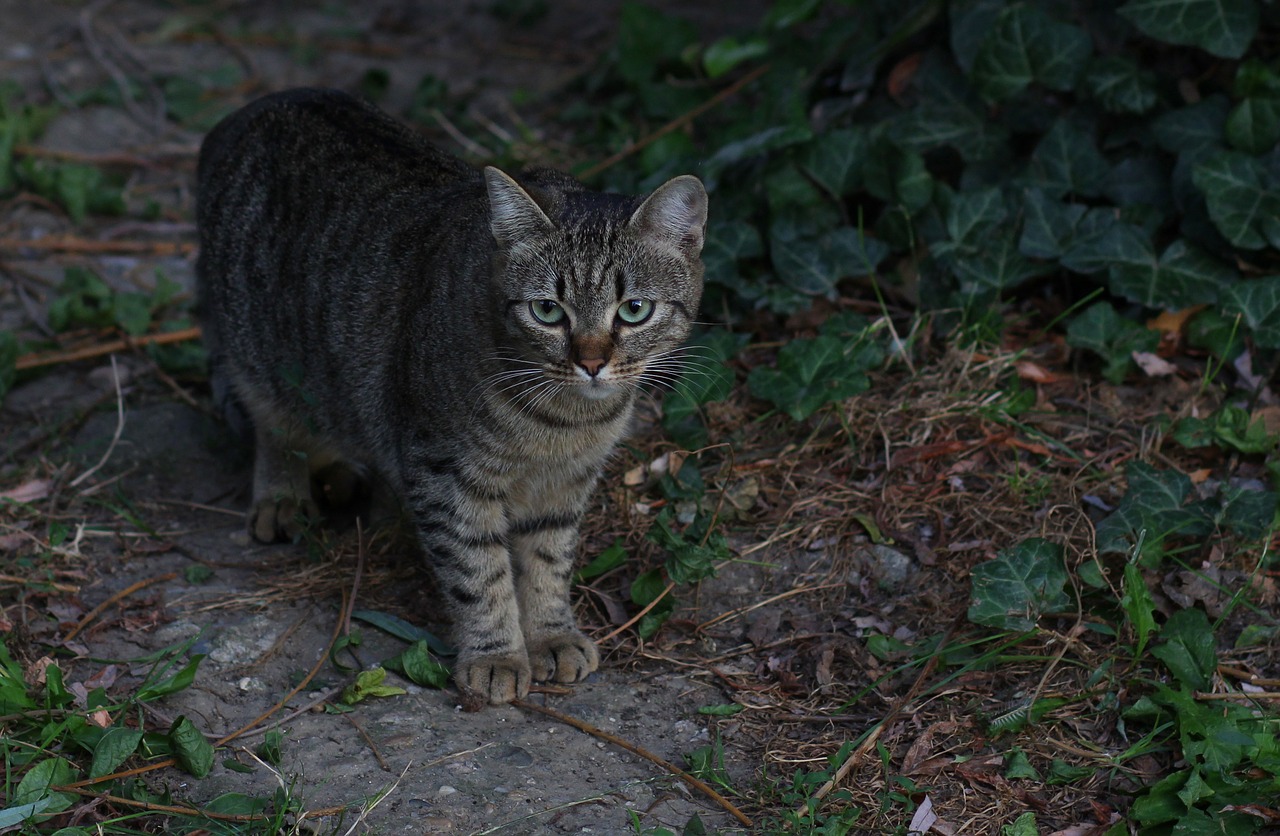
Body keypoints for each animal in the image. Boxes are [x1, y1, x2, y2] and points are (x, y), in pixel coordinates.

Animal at [197, 88, 711, 706]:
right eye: (548, 310)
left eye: (634, 310)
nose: (591, 362)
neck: (565, 422)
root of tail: (259, 105)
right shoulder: (445, 473)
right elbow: (478, 572)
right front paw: (496, 656)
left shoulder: (567, 483)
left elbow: (548, 560)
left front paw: (551, 635)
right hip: (257, 349)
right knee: (274, 421)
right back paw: (284, 493)